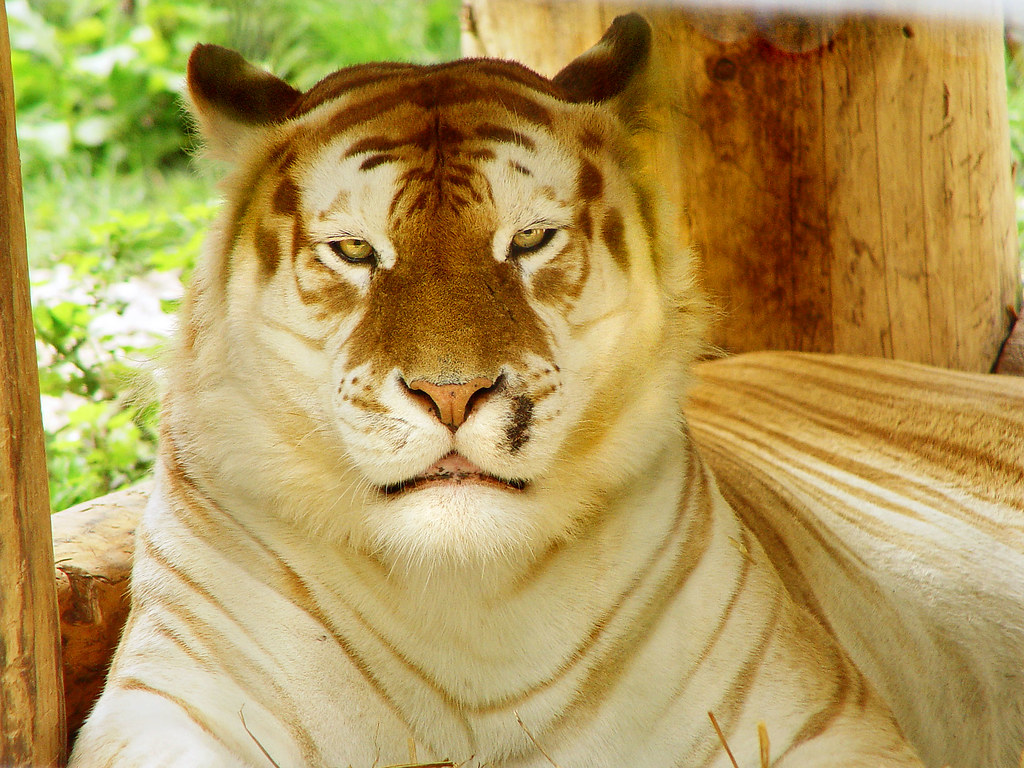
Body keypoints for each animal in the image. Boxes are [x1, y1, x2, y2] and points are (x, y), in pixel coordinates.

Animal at [67, 12, 1024, 768]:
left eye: (528, 239)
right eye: (355, 251)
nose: (452, 394)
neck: (466, 607)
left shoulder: (817, 720)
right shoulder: (174, 704)